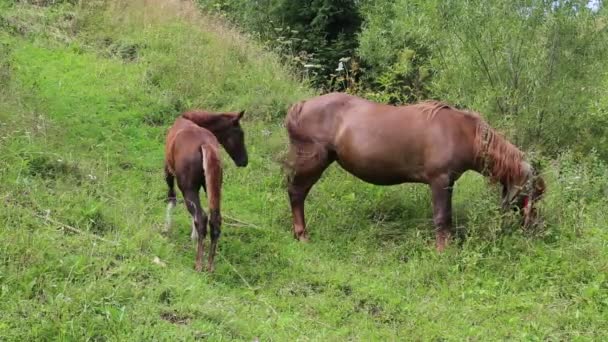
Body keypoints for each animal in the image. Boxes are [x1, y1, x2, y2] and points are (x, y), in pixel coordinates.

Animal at [165, 111, 248, 272]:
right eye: (240, 133)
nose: (244, 161)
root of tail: (205, 144)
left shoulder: (168, 170)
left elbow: (171, 199)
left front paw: (167, 228)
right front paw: (194, 237)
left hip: (188, 189)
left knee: (201, 217)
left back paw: (199, 264)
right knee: (214, 220)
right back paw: (209, 266)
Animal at [284, 93, 548, 251]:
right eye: (535, 193)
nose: (535, 229)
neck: (463, 133)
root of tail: (301, 105)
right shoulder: (441, 181)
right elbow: (443, 218)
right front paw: (443, 251)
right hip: (312, 163)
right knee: (296, 193)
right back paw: (302, 235)